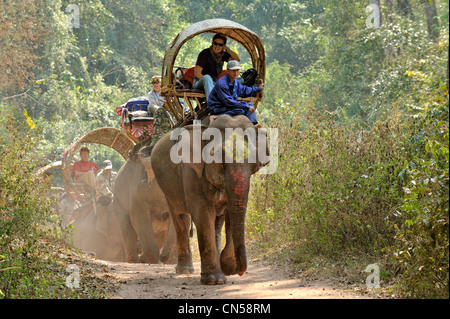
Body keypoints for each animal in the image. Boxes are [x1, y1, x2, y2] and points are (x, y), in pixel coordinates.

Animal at [151, 115, 270, 284]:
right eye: (218, 157)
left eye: (254, 160)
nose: (239, 271)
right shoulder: (191, 170)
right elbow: (202, 212)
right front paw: (214, 280)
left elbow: (230, 212)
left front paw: (227, 267)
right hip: (166, 187)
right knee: (181, 218)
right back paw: (185, 270)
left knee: (216, 222)